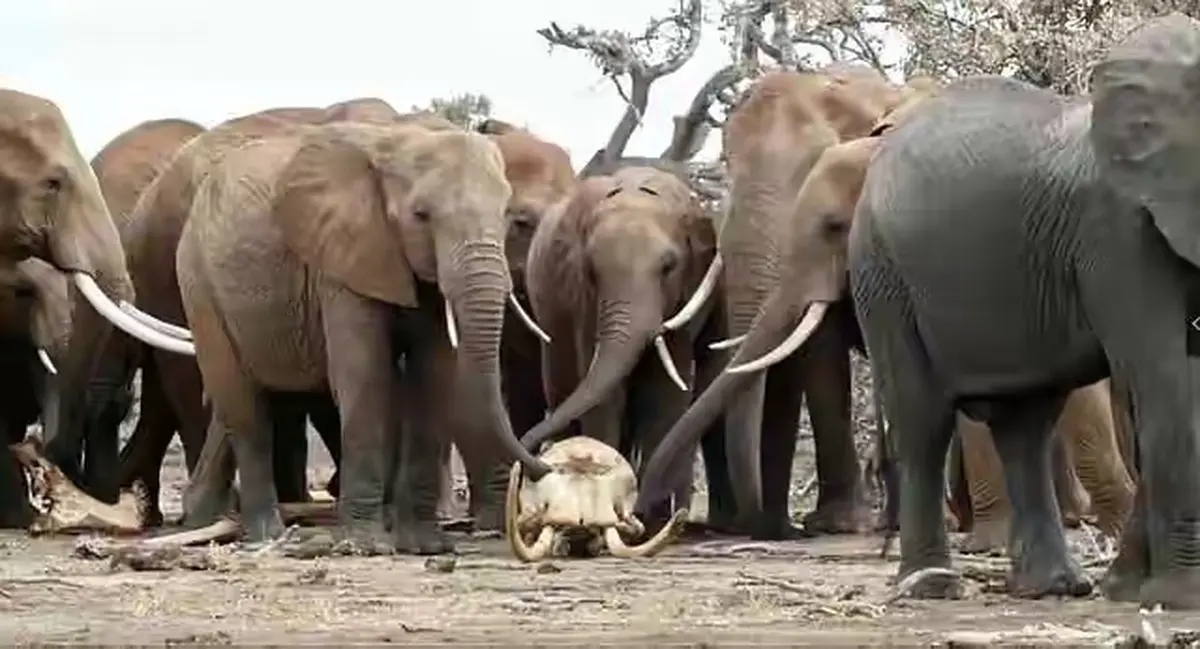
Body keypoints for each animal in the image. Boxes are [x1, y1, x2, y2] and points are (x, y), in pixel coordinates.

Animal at [175, 119, 553, 554]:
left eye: (508, 215)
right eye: (421, 215)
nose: (545, 468)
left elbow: (434, 376)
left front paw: (425, 545)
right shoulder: (342, 259)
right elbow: (365, 373)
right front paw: (367, 545)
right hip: (198, 284)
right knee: (243, 406)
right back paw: (266, 535)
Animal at [516, 166, 719, 524]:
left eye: (669, 267)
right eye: (592, 271)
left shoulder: (688, 292)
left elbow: (667, 391)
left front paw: (652, 519)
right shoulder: (581, 296)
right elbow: (603, 391)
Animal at [630, 66, 909, 541]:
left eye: (812, 165)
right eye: (728, 164)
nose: (637, 513)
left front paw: (838, 525)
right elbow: (820, 350)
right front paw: (835, 523)